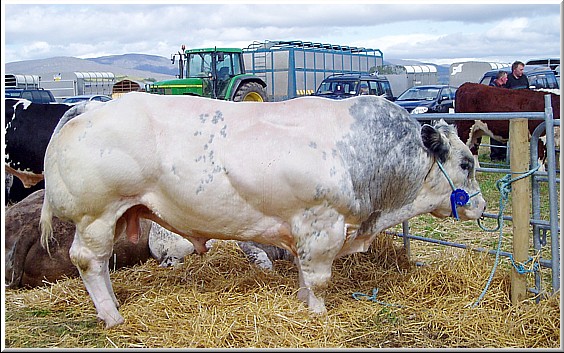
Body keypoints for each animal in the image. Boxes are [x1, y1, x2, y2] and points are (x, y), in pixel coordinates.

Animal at [40, 92, 490, 326]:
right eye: (467, 163)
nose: (482, 207)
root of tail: (95, 104)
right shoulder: (322, 224)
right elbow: (320, 277)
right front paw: (318, 312)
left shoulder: (307, 231)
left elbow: (306, 275)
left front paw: (303, 300)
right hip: (95, 215)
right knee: (89, 262)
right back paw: (111, 316)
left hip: (116, 215)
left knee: (100, 265)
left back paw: (114, 306)